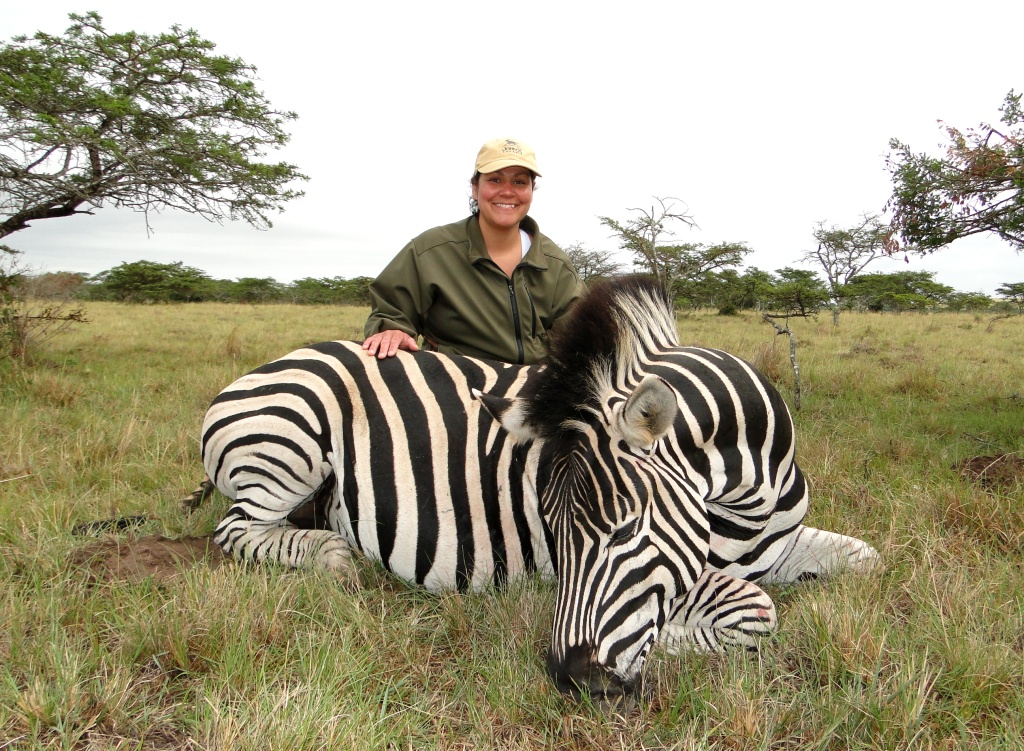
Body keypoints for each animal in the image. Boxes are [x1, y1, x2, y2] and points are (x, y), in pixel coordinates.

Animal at [200, 275, 879, 702]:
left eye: (627, 529)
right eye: (552, 533)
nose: (573, 679)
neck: (745, 498)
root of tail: (275, 362)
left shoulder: (780, 544)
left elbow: (864, 559)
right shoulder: (694, 575)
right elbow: (754, 608)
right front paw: (672, 640)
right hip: (289, 441)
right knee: (235, 530)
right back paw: (334, 555)